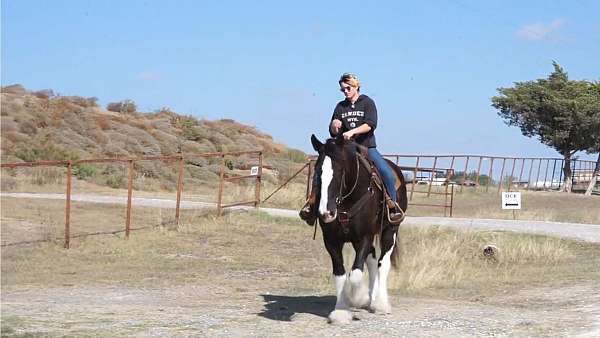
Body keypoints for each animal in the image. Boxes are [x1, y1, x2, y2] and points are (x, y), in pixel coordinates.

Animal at [310, 133, 408, 324]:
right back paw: (372, 298)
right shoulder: (331, 240)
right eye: (318, 172)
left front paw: (358, 298)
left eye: (340, 171)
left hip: (390, 230)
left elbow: (355, 274)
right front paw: (341, 311)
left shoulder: (364, 237)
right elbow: (340, 274)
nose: (326, 213)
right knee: (372, 261)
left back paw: (381, 304)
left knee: (382, 263)